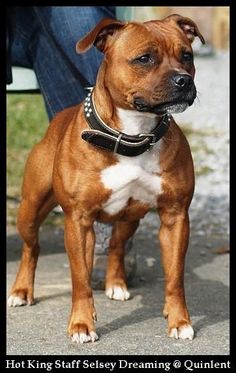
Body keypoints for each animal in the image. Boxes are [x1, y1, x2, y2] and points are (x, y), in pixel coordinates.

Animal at [7, 15, 205, 342]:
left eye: (187, 56)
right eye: (144, 58)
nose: (183, 80)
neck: (133, 136)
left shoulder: (175, 217)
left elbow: (175, 277)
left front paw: (179, 321)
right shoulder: (77, 220)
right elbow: (80, 280)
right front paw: (81, 324)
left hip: (129, 217)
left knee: (116, 244)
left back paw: (116, 283)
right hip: (30, 209)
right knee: (30, 248)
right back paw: (22, 291)